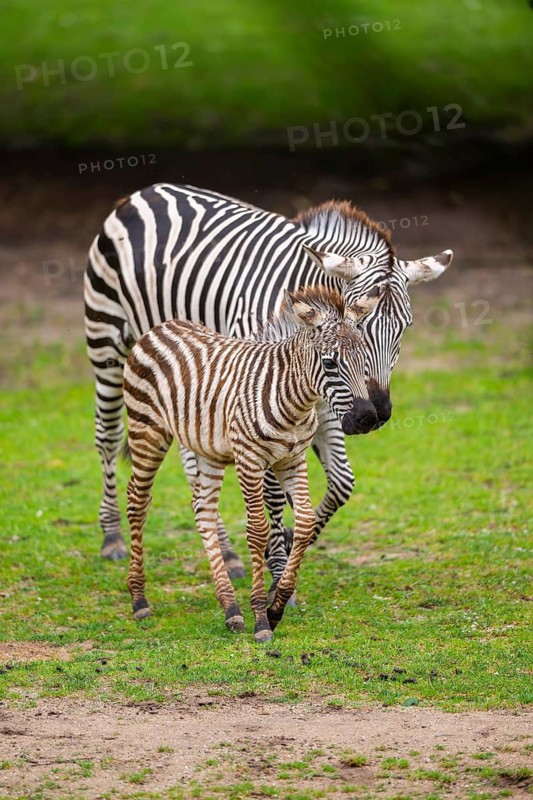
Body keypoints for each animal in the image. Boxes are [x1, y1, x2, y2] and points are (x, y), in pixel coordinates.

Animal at [84, 183, 453, 575]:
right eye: (357, 325)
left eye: (406, 328)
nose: (377, 413)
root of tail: (146, 192)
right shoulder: (263, 395)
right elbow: (273, 492)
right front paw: (277, 565)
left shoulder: (325, 399)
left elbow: (341, 483)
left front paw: (291, 545)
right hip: (106, 343)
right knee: (107, 437)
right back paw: (112, 537)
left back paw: (225, 551)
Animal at [123, 285, 380, 641]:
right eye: (329, 363)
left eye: (364, 360)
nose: (367, 419)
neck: (294, 401)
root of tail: (161, 326)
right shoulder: (249, 460)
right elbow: (258, 530)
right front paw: (261, 617)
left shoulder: (292, 459)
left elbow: (304, 523)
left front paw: (276, 607)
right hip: (147, 431)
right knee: (137, 501)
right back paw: (139, 600)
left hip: (208, 450)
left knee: (203, 511)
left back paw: (230, 607)